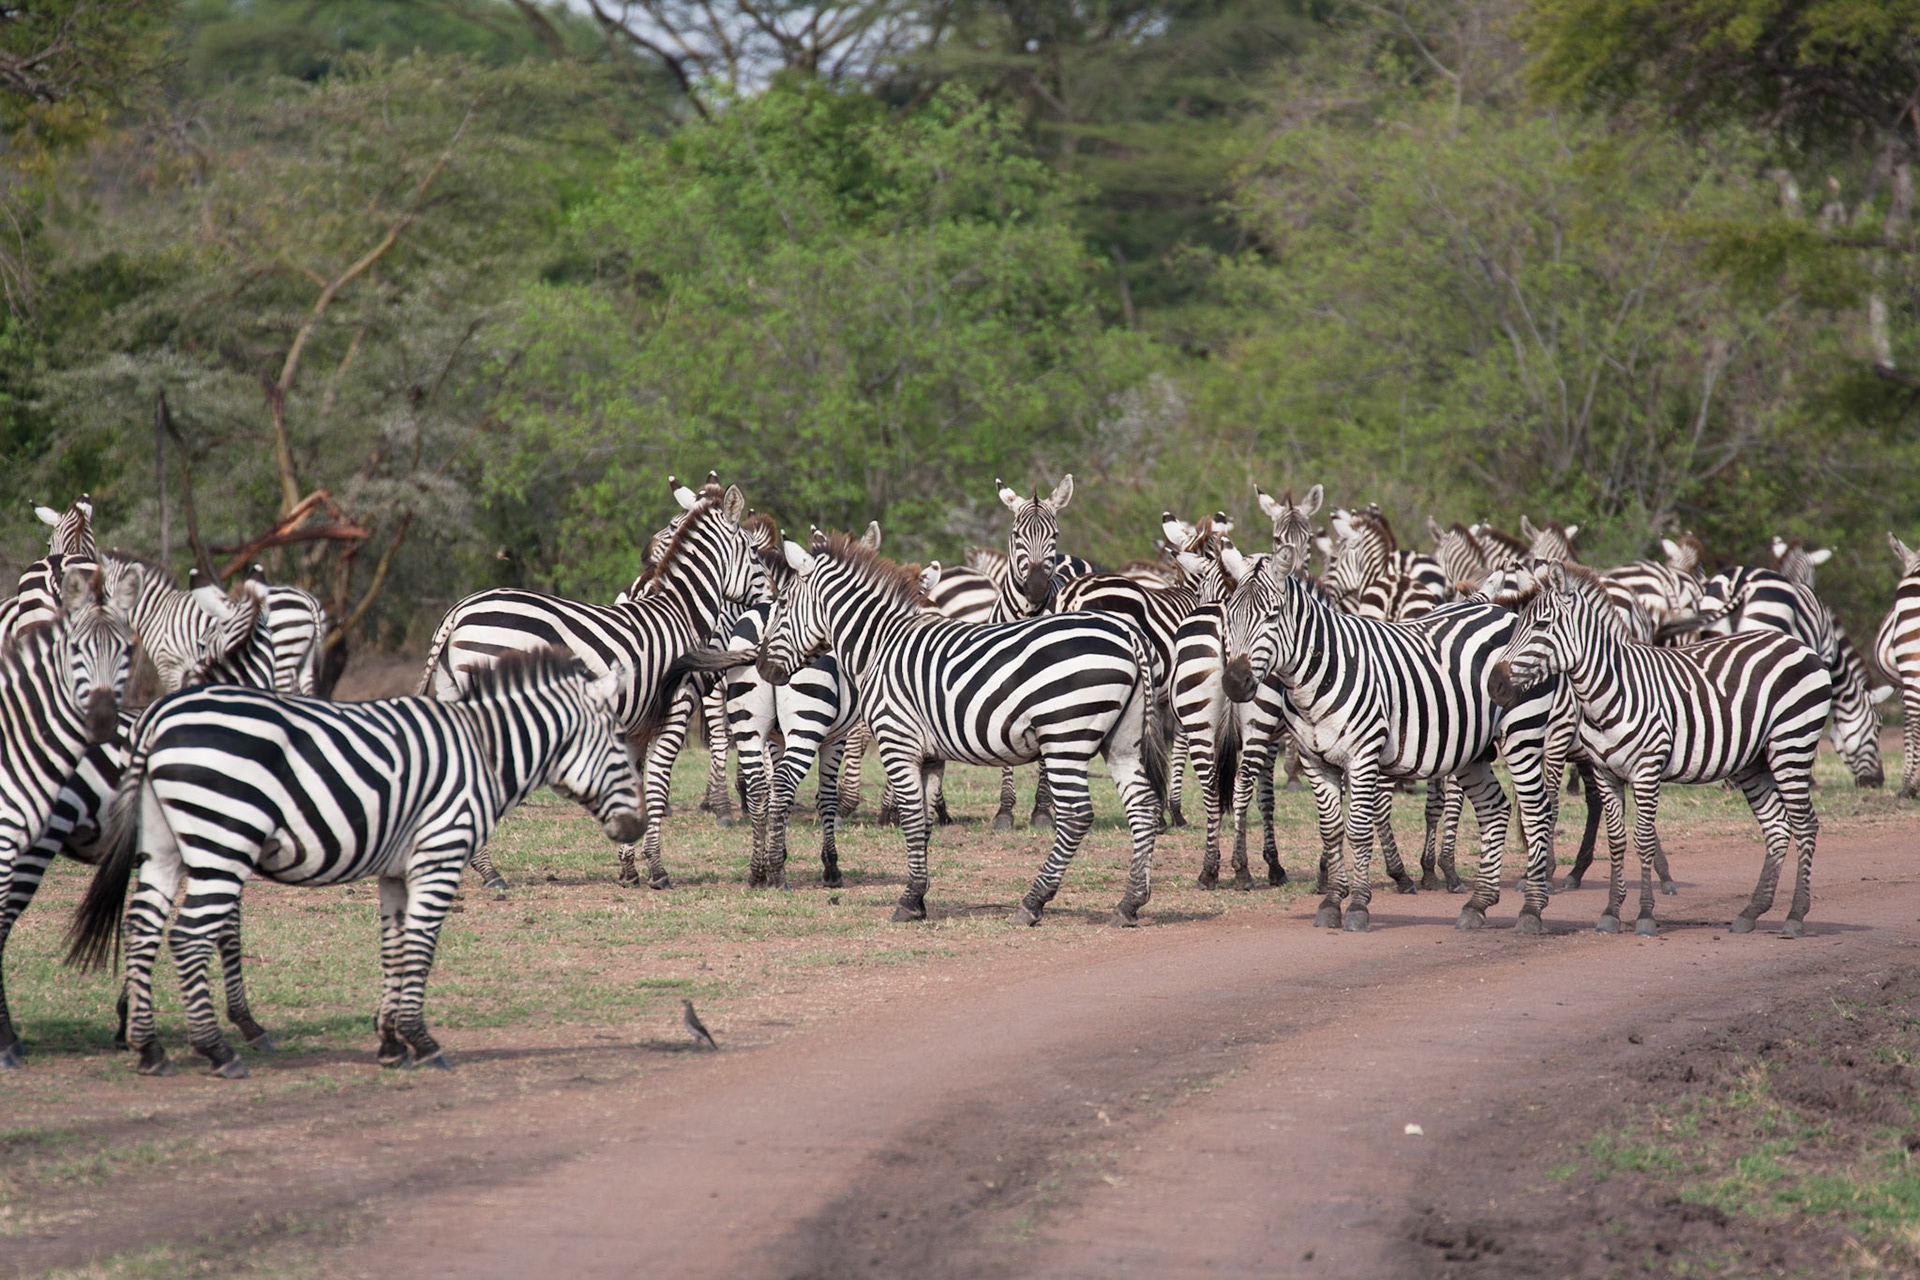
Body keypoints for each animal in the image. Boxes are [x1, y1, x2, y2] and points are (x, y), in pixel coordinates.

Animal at [66, 650, 642, 1078]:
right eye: (620, 741)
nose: (635, 829)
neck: (484, 751)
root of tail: (157, 716)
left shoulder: (395, 870)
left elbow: (394, 946)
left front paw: (390, 1043)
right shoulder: (440, 854)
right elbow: (422, 946)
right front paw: (422, 1042)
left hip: (165, 846)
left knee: (142, 927)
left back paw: (149, 1049)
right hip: (223, 838)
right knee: (188, 935)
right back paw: (217, 1051)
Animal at [419, 480, 765, 890]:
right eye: (756, 556)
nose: (774, 596)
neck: (680, 613)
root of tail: (460, 610)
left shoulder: (633, 725)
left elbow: (634, 785)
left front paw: (629, 869)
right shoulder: (674, 709)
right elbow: (658, 786)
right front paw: (657, 869)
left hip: (455, 693)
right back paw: (488, 872)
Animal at [752, 531, 1167, 926]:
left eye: (783, 605)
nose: (761, 668)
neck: (880, 645)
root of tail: (1128, 634)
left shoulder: (897, 742)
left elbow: (912, 818)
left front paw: (907, 901)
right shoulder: (930, 756)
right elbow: (923, 821)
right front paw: (919, 897)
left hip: (1065, 737)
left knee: (1077, 816)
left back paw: (1033, 903)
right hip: (1121, 741)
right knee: (1143, 806)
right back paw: (1129, 904)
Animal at [1228, 529, 1559, 932]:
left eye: (1272, 615)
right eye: (1231, 613)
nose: (1234, 682)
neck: (1319, 674)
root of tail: (1502, 610)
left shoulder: (1364, 754)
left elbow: (1358, 828)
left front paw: (1357, 906)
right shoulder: (1314, 760)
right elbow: (1331, 830)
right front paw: (1331, 903)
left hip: (1521, 732)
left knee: (1536, 810)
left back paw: (1531, 909)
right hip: (1471, 750)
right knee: (1494, 809)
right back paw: (1477, 904)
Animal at [1490, 562, 1832, 937]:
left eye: (1540, 625)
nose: (1494, 684)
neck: (1611, 689)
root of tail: (1796, 644)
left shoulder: (1644, 766)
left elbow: (1640, 837)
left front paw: (1644, 915)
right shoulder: (1605, 772)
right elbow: (1616, 840)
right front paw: (1610, 913)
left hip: (1792, 744)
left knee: (1805, 824)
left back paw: (1795, 916)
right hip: (1754, 762)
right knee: (1777, 827)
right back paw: (1750, 913)